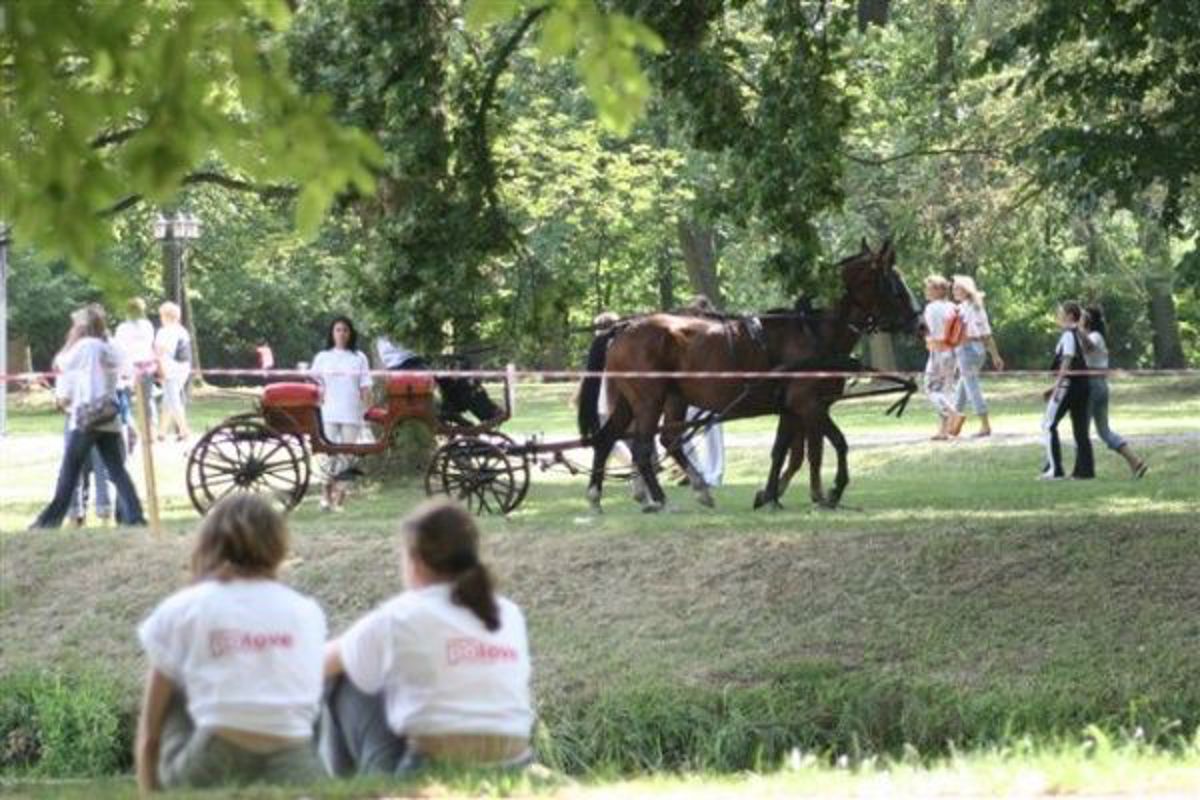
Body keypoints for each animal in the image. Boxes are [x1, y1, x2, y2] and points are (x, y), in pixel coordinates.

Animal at [578, 239, 916, 513]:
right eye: (894, 285)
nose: (916, 321)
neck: (812, 332)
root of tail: (623, 327)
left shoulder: (792, 408)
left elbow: (784, 452)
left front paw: (771, 495)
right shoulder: (808, 404)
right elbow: (837, 444)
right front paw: (832, 492)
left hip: (642, 400)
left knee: (615, 439)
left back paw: (602, 495)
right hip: (649, 399)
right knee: (644, 447)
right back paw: (660, 499)